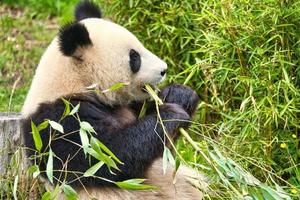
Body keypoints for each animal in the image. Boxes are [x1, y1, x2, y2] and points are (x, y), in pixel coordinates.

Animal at [22, 0, 205, 199]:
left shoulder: (126, 105)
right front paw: (170, 115)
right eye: (134, 57)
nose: (164, 69)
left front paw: (179, 94)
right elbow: (109, 157)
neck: (77, 83)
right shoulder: (59, 120)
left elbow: (163, 151)